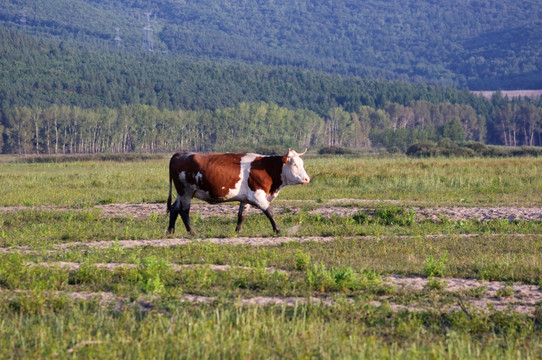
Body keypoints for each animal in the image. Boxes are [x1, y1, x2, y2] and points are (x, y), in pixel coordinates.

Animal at [167, 148, 310, 235]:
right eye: (294, 164)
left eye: (302, 164)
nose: (307, 179)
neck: (266, 168)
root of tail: (180, 154)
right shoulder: (257, 195)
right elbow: (269, 212)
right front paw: (277, 230)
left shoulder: (246, 198)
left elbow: (242, 215)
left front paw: (238, 231)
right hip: (185, 192)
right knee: (184, 212)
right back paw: (191, 232)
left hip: (182, 194)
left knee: (174, 209)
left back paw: (170, 231)